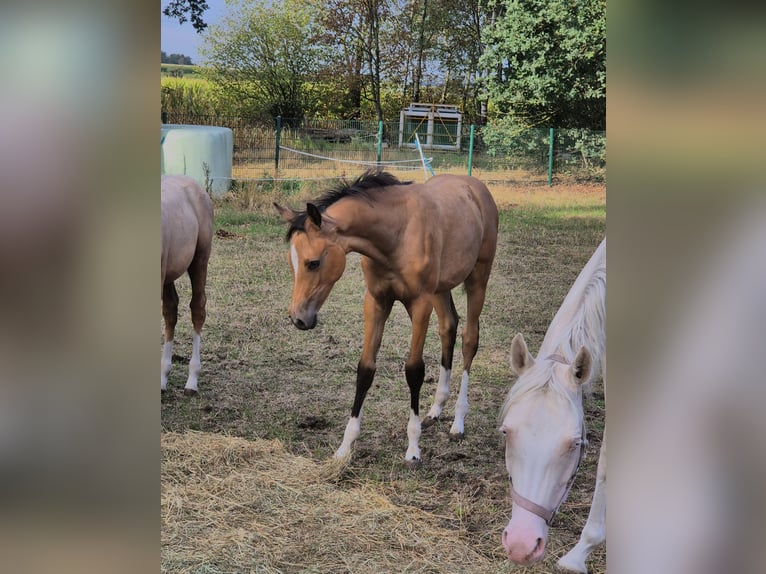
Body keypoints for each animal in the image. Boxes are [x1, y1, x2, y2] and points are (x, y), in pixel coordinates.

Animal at [274, 170, 498, 466]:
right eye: (292, 263)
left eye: (313, 263)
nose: (299, 319)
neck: (395, 234)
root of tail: (475, 186)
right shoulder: (376, 302)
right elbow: (365, 369)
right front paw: (345, 447)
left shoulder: (420, 304)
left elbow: (414, 370)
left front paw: (413, 448)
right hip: (441, 289)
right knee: (448, 328)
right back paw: (436, 408)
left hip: (477, 279)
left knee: (470, 339)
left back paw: (458, 422)